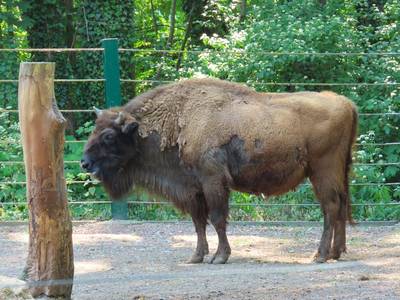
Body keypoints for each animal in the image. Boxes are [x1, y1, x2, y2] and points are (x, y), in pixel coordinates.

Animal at [80, 78, 356, 264]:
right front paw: (196, 256)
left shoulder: (213, 181)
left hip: (322, 172)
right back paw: (336, 252)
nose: (85, 163)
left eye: (108, 136)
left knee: (330, 207)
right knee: (341, 205)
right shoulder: (193, 188)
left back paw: (320, 255)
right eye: (94, 129)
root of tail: (345, 103)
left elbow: (216, 219)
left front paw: (220, 257)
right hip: (338, 172)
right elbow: (198, 222)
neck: (179, 118)